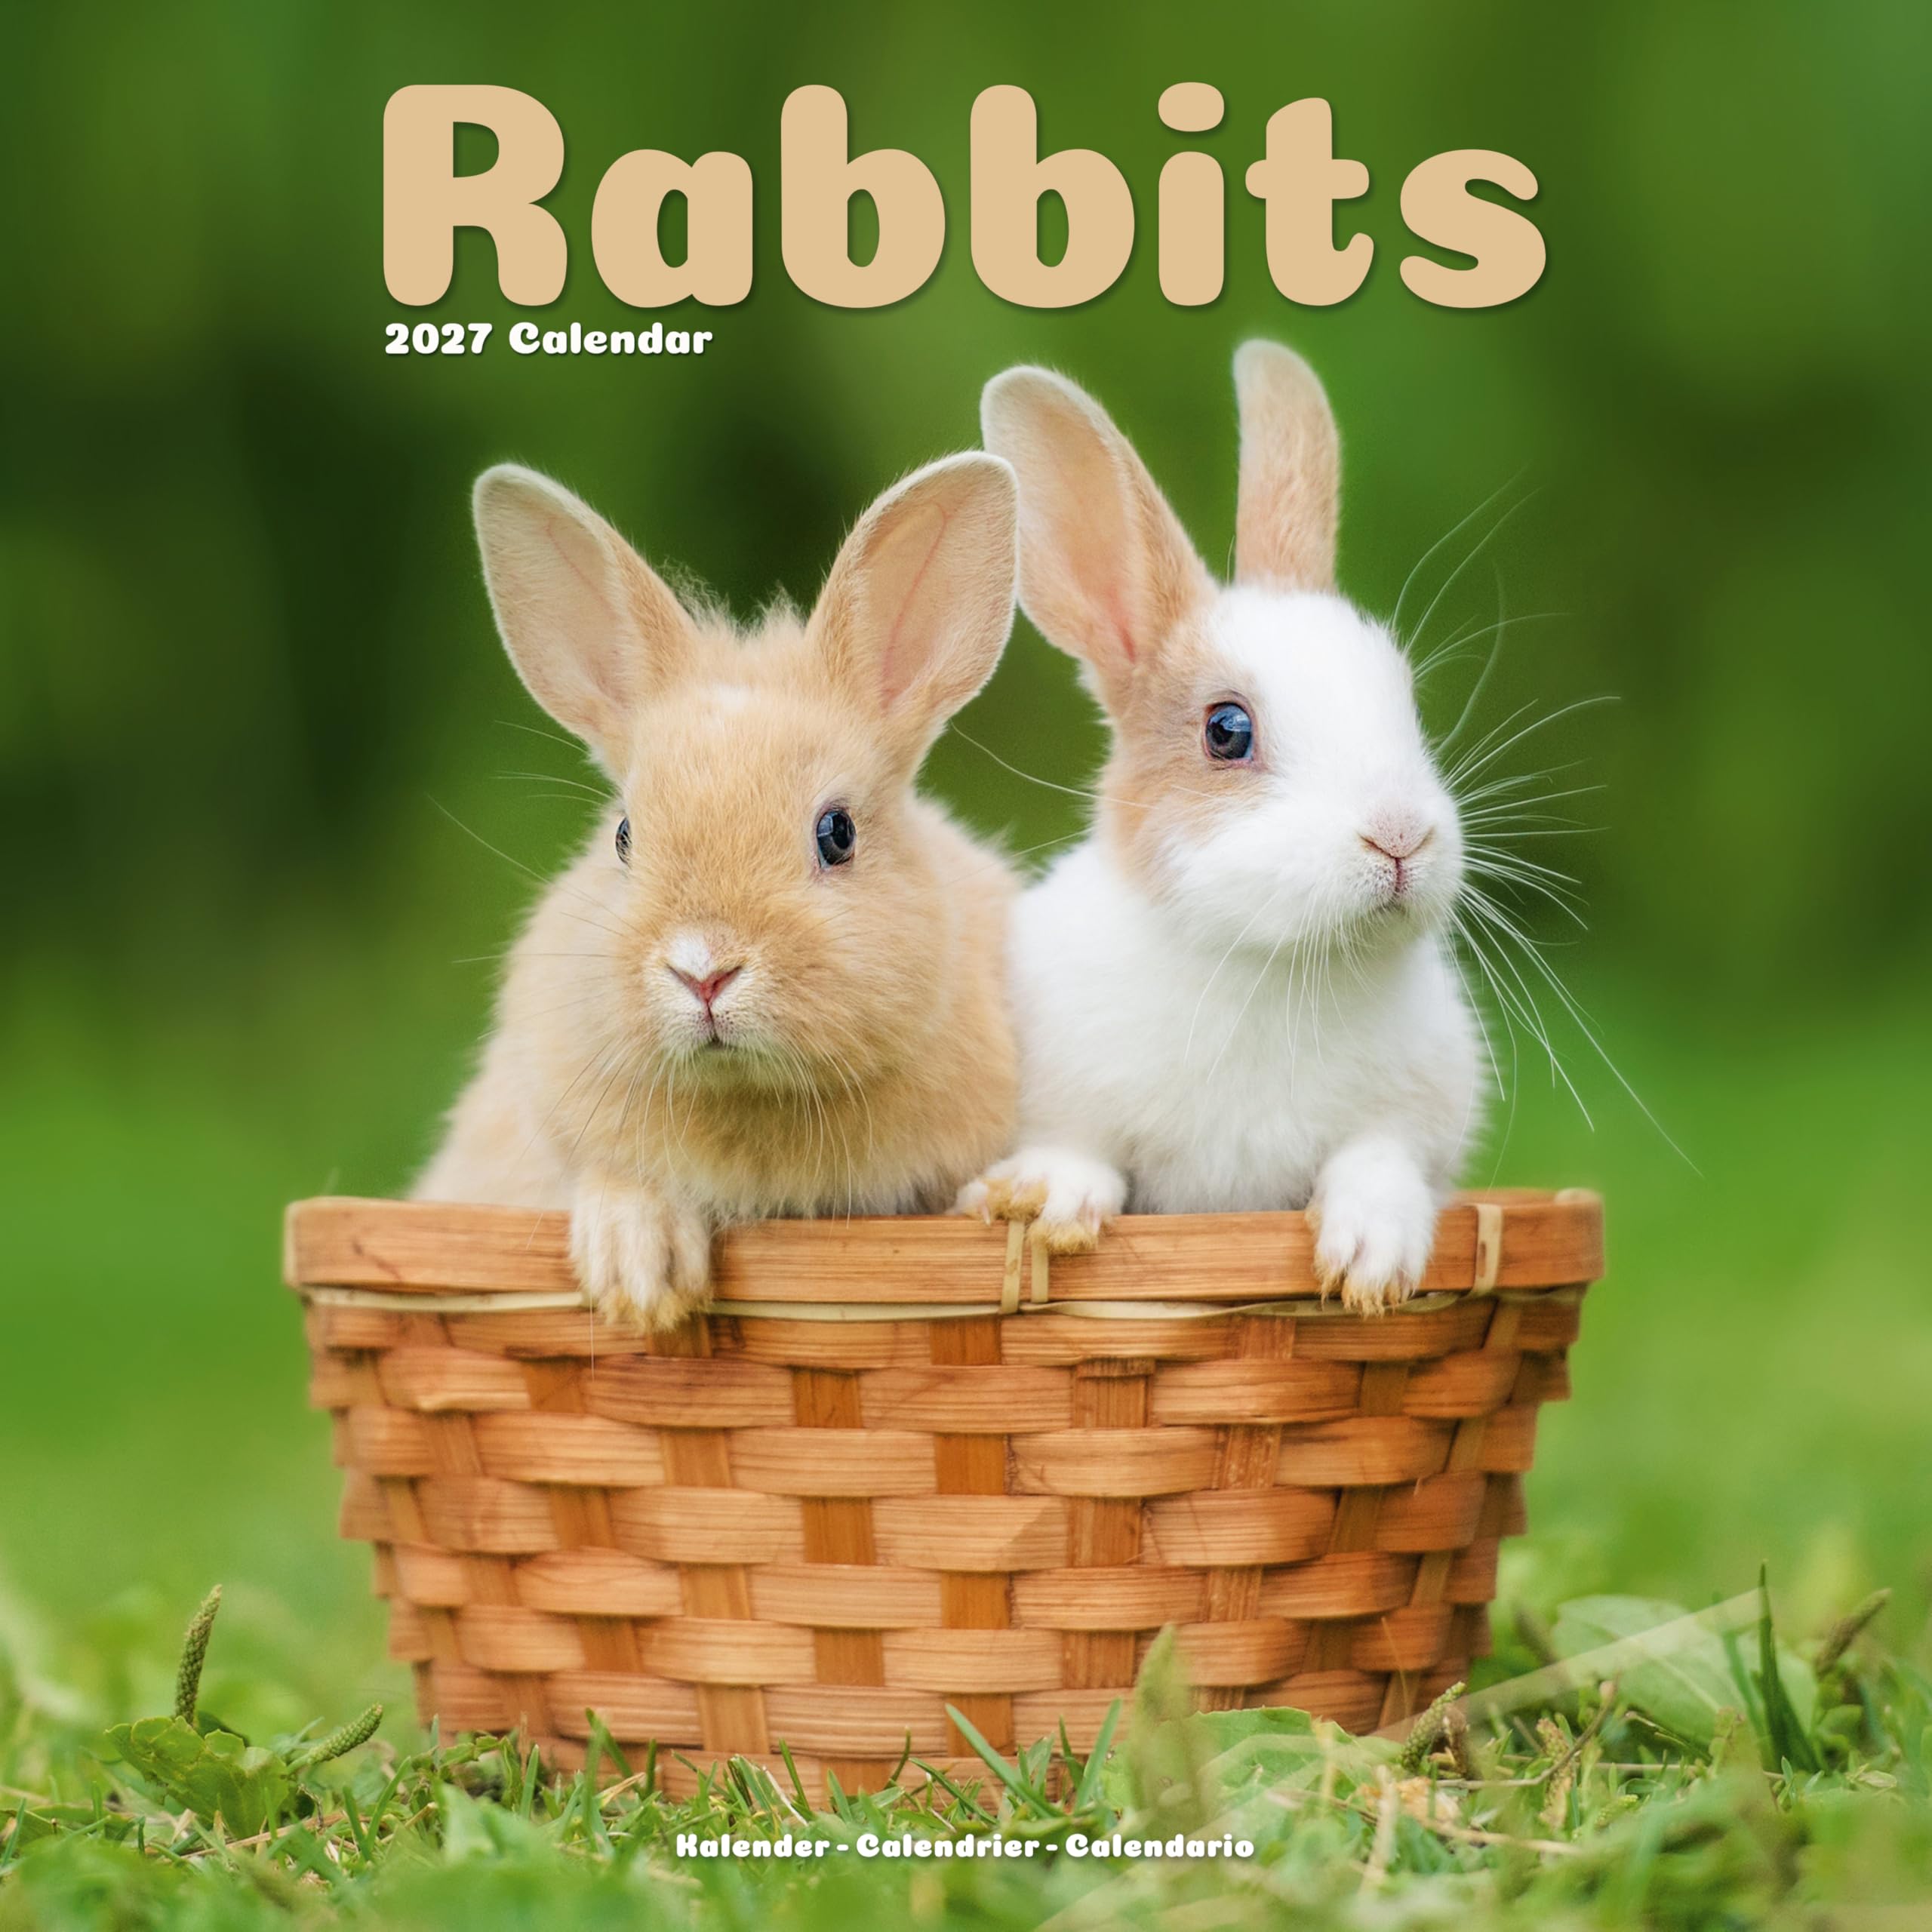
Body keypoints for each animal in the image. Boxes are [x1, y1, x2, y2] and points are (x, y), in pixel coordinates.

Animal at [959, 342, 1484, 1312]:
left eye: (1405, 697)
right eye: (1227, 730)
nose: (1399, 836)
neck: (1271, 963)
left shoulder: (1413, 1120)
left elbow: (1379, 1162)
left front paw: (1371, 1263)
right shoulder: (1062, 1096)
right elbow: (1082, 1152)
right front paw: (1042, 1201)